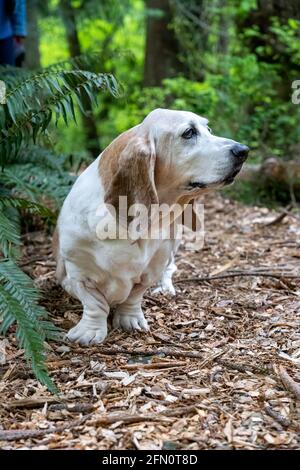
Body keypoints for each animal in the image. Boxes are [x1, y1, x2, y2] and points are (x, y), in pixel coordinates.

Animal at [53, 109, 248, 346]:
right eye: (189, 132)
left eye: (208, 129)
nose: (243, 150)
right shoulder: (78, 273)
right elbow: (95, 303)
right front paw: (89, 331)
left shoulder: (150, 271)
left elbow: (134, 296)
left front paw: (130, 319)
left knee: (169, 269)